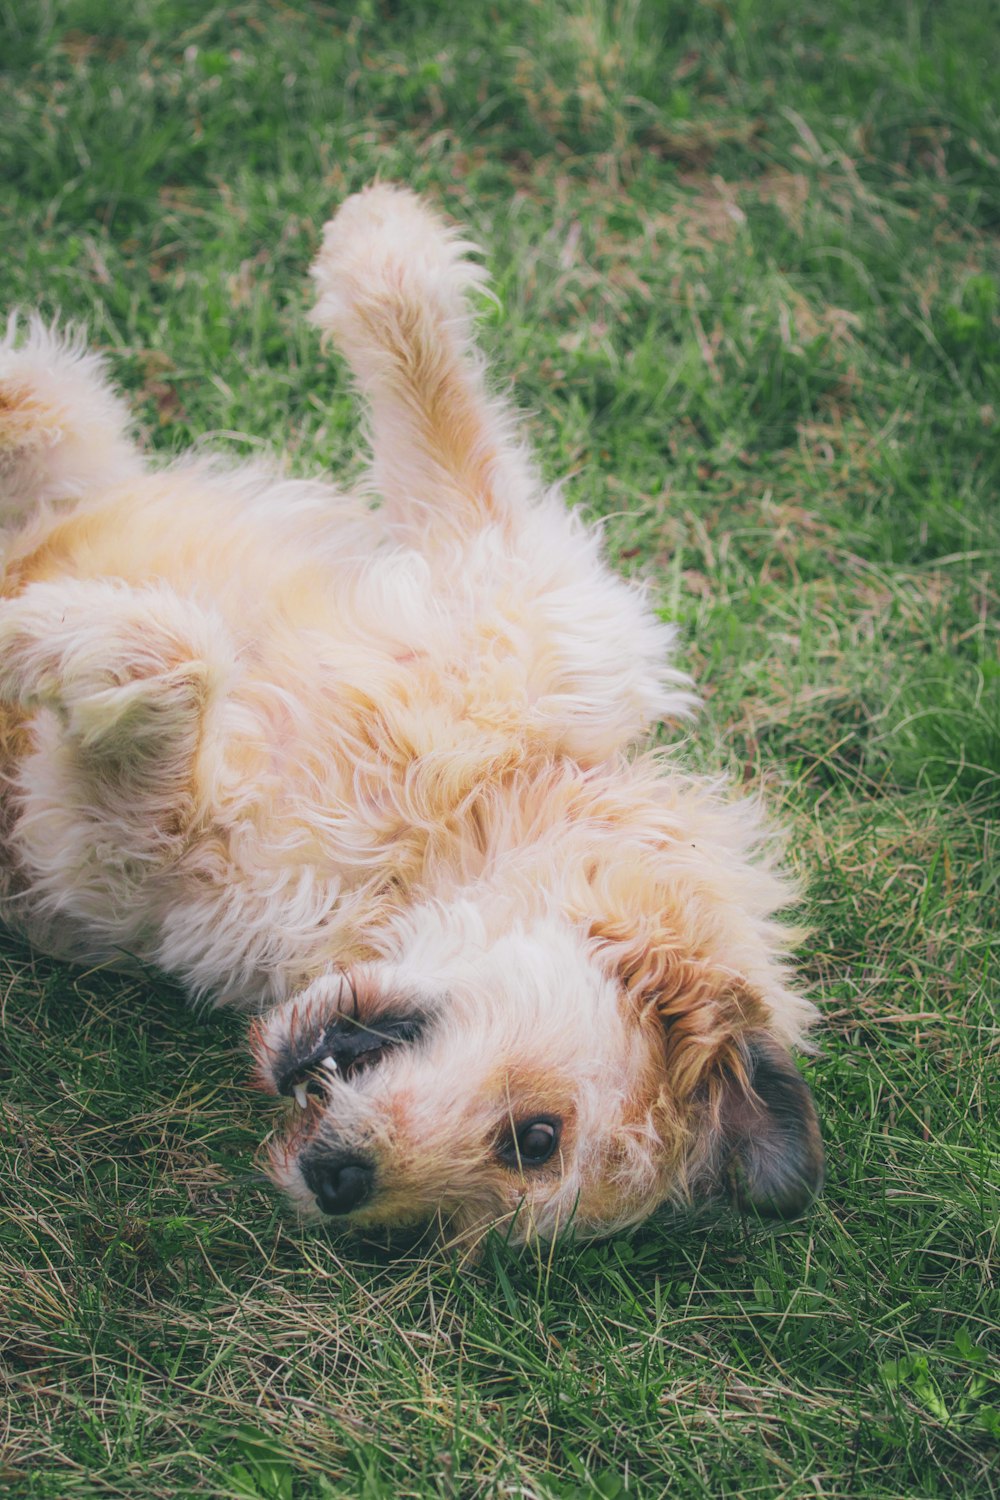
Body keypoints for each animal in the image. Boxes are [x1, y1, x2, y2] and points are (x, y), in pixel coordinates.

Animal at [0, 187, 821, 1254]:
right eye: (540, 1136)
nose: (338, 1183)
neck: (437, 833)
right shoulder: (506, 574)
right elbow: (446, 417)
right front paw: (382, 239)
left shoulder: (111, 855)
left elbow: (175, 671)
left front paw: (54, 640)